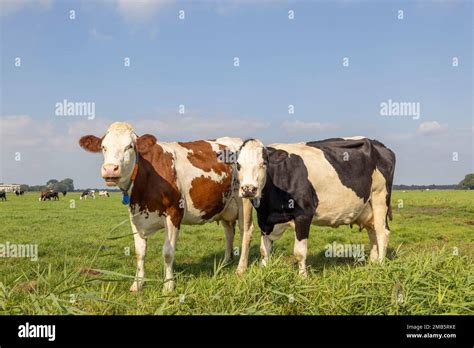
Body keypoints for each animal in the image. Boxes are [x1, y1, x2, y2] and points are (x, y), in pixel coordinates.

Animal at [79, 121, 254, 292]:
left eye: (130, 146)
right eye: (104, 147)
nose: (110, 169)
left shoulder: (174, 212)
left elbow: (168, 252)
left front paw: (168, 285)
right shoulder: (135, 217)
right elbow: (140, 252)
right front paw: (137, 284)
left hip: (245, 198)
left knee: (245, 232)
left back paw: (240, 269)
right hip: (225, 205)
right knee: (229, 231)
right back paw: (225, 263)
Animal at [237, 136, 396, 274]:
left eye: (264, 163)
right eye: (238, 165)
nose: (248, 189)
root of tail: (378, 144)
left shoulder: (304, 214)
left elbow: (299, 252)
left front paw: (303, 278)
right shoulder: (264, 220)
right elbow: (264, 250)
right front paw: (263, 272)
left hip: (380, 196)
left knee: (382, 233)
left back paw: (380, 265)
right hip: (367, 207)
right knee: (372, 231)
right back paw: (372, 263)